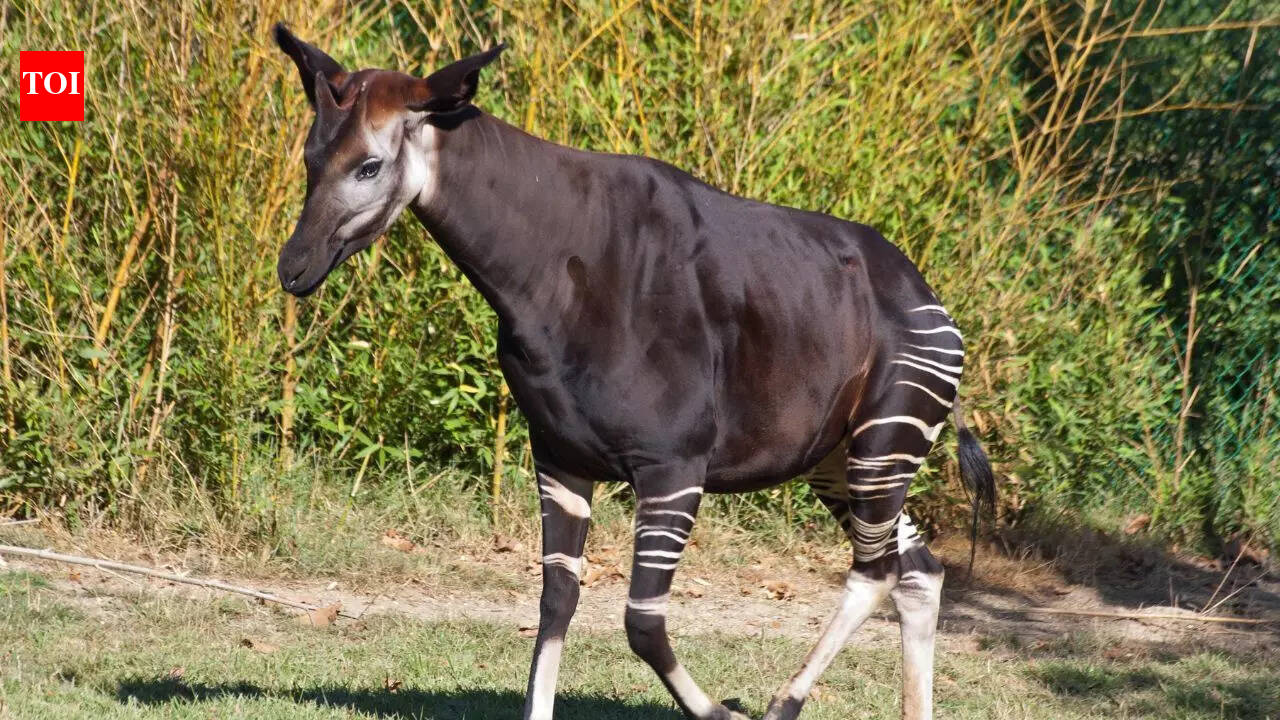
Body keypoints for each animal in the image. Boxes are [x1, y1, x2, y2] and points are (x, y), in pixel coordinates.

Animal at [272, 26, 995, 720]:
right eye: (308, 159)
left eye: (369, 166)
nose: (292, 267)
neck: (542, 272)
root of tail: (930, 299)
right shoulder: (559, 456)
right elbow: (556, 600)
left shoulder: (672, 464)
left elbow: (641, 623)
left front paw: (723, 713)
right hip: (838, 458)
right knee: (917, 571)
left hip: (884, 438)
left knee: (876, 571)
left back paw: (779, 706)